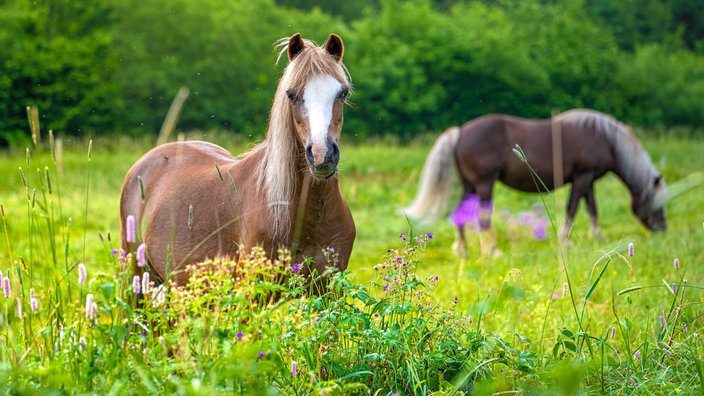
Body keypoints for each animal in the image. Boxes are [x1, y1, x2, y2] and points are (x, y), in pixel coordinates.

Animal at [402, 108, 664, 256]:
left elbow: (592, 208)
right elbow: (572, 208)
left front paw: (598, 237)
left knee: (462, 215)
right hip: (485, 184)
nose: (662, 228)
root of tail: (460, 131)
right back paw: (493, 251)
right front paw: (565, 241)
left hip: (470, 186)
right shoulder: (582, 177)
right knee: (484, 217)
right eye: (659, 203)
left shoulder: (588, 181)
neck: (605, 139)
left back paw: (463, 251)